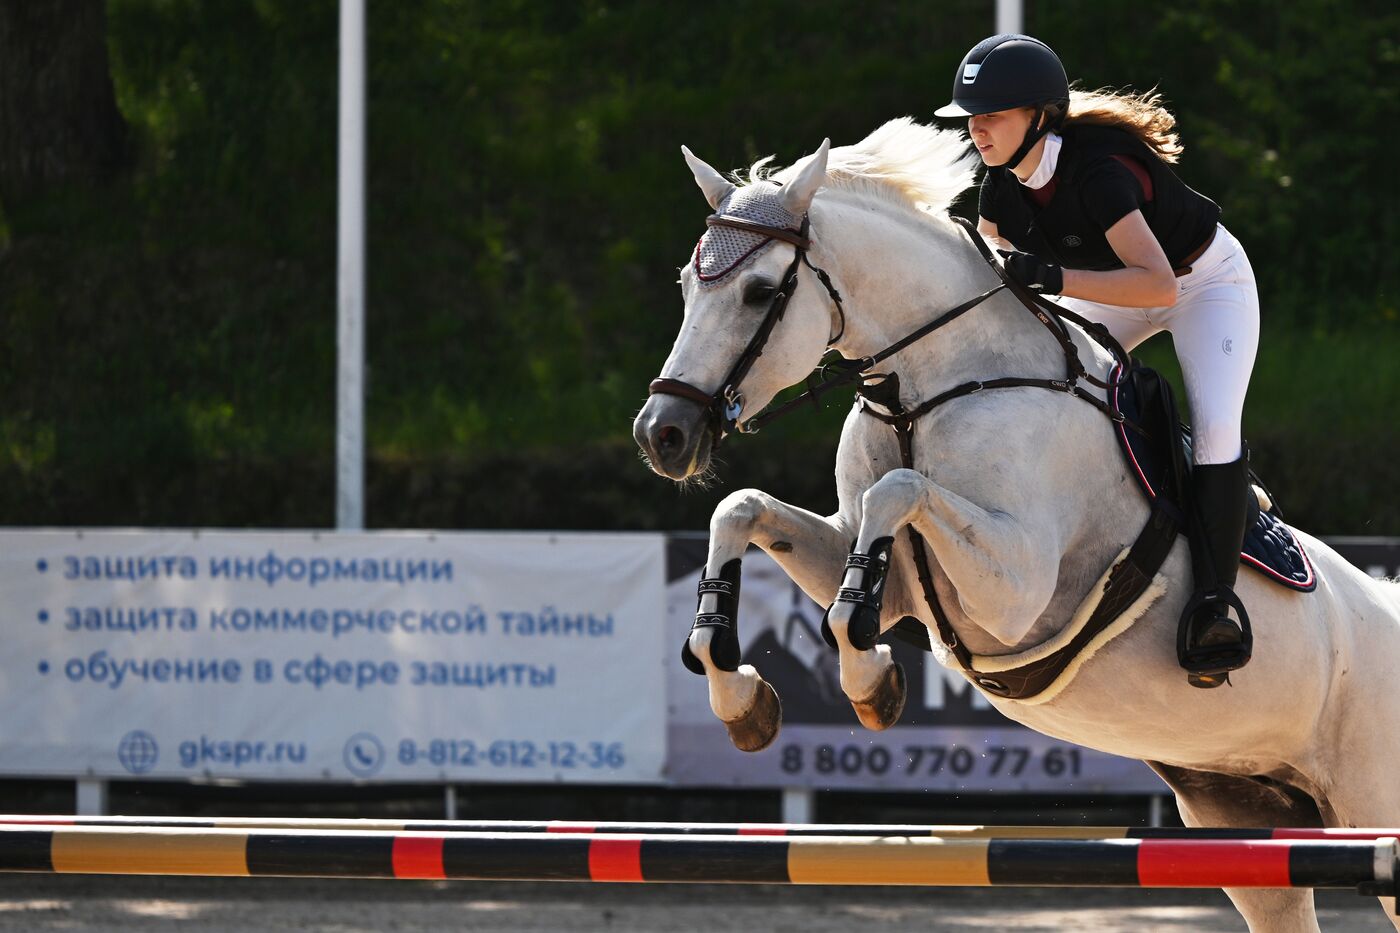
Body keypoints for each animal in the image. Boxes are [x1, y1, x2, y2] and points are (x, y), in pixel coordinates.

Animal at [632, 119, 1400, 924]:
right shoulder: (888, 574)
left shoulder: (1017, 591)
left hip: (1366, 799)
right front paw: (738, 688)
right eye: (687, 285)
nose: (663, 435)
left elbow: (895, 496)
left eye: (758, 292)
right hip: (1241, 813)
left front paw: (871, 680)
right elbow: (742, 508)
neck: (926, 388)